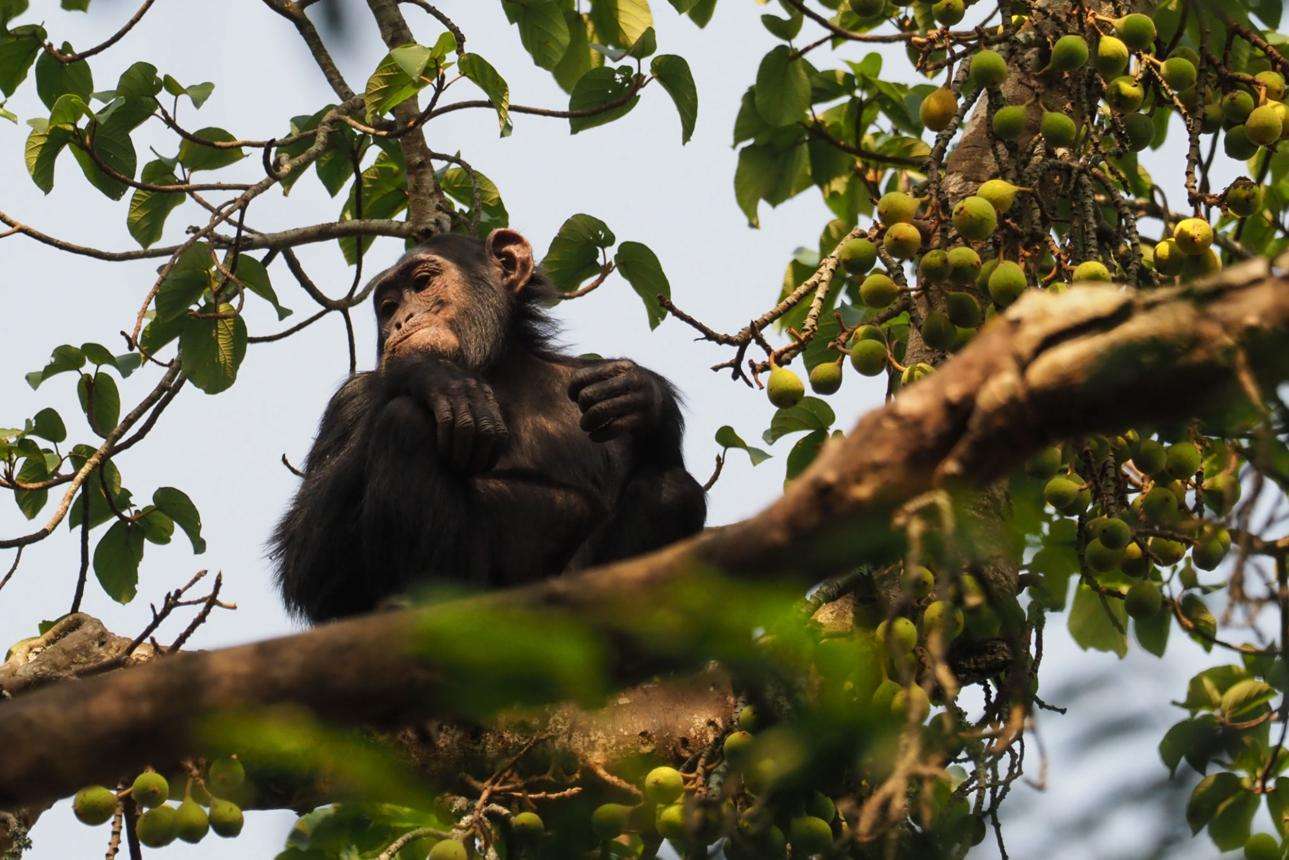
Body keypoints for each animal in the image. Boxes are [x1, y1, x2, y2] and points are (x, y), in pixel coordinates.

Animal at [271, 229, 706, 622]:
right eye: (389, 306)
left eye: (422, 284)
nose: (401, 321)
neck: (503, 372)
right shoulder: (350, 400)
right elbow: (311, 566)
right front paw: (430, 375)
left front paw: (644, 396)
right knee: (406, 421)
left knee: (671, 492)